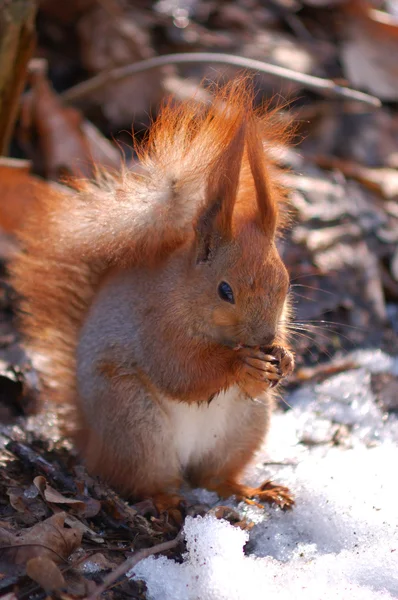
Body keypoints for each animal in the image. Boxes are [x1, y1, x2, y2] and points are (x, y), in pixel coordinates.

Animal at [10, 79, 294, 510]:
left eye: (285, 282)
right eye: (224, 290)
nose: (264, 339)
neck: (186, 292)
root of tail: (92, 445)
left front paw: (285, 359)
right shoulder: (158, 325)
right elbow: (181, 372)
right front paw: (240, 364)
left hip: (244, 426)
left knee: (214, 478)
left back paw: (252, 491)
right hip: (134, 423)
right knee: (141, 481)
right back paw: (165, 502)